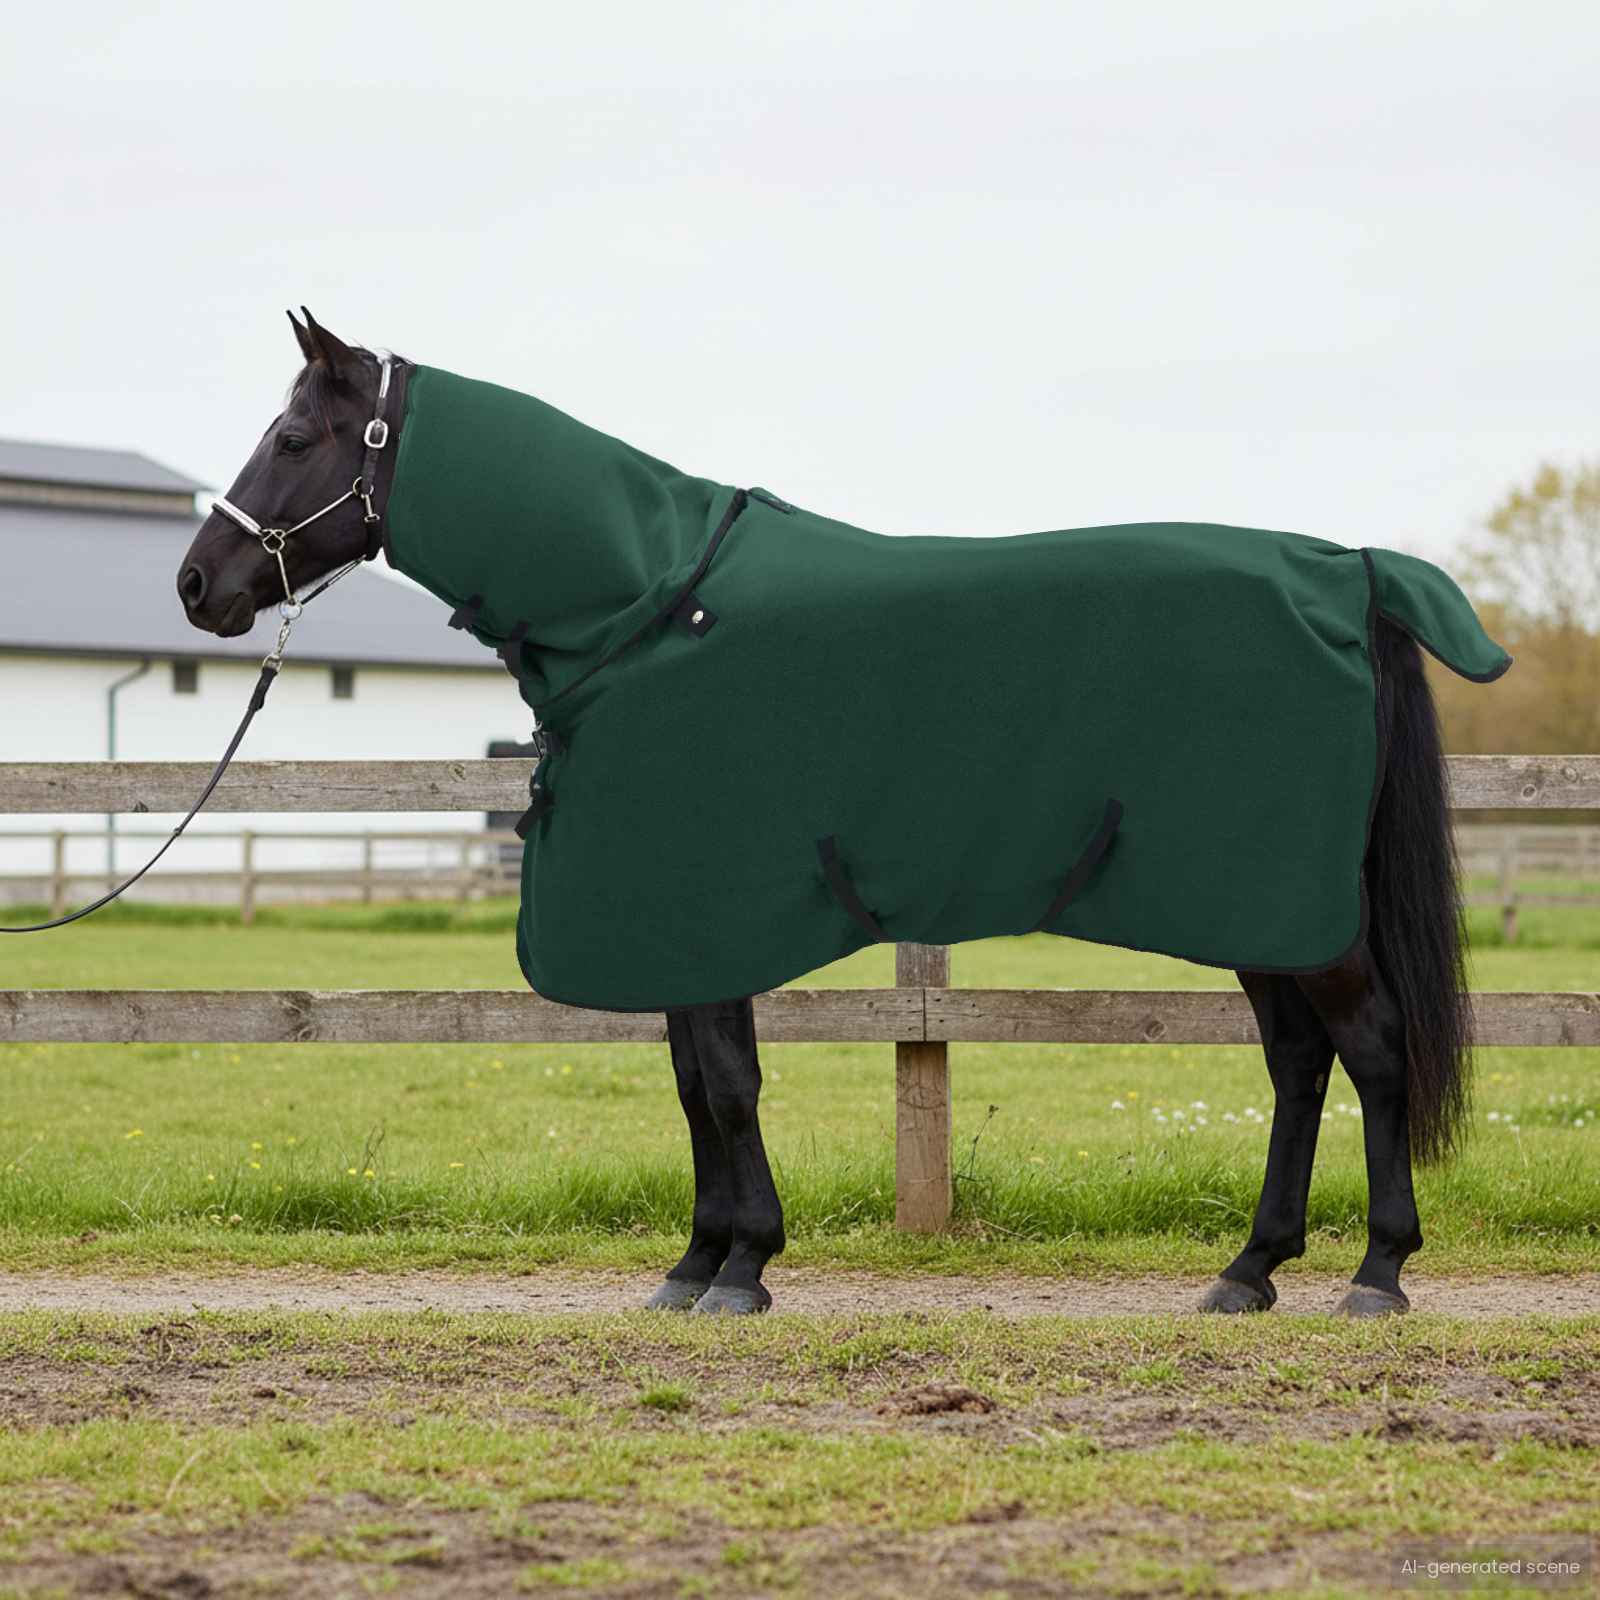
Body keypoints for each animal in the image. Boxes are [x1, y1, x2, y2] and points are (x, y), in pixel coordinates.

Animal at [177, 309, 1481, 1318]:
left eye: (292, 436)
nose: (198, 585)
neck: (650, 606)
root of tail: (1347, 570)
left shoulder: (708, 906)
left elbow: (727, 1084)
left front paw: (742, 1266)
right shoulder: (679, 920)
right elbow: (696, 1083)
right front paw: (696, 1261)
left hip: (1294, 909)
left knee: (1370, 1049)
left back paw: (1375, 1272)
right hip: (1261, 910)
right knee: (1299, 1063)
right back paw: (1249, 1269)